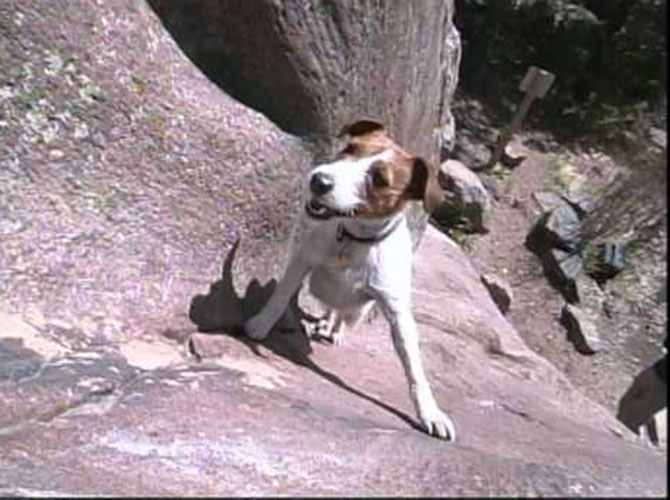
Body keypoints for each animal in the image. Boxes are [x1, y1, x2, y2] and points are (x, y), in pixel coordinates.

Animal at [244, 119, 460, 440]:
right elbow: (279, 297)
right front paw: (260, 323)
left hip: (359, 312)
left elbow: (413, 366)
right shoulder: (303, 261)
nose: (319, 181)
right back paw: (323, 322)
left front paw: (430, 413)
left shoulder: (396, 311)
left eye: (380, 179)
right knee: (329, 306)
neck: (354, 240)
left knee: (343, 315)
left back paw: (335, 330)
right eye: (350, 148)